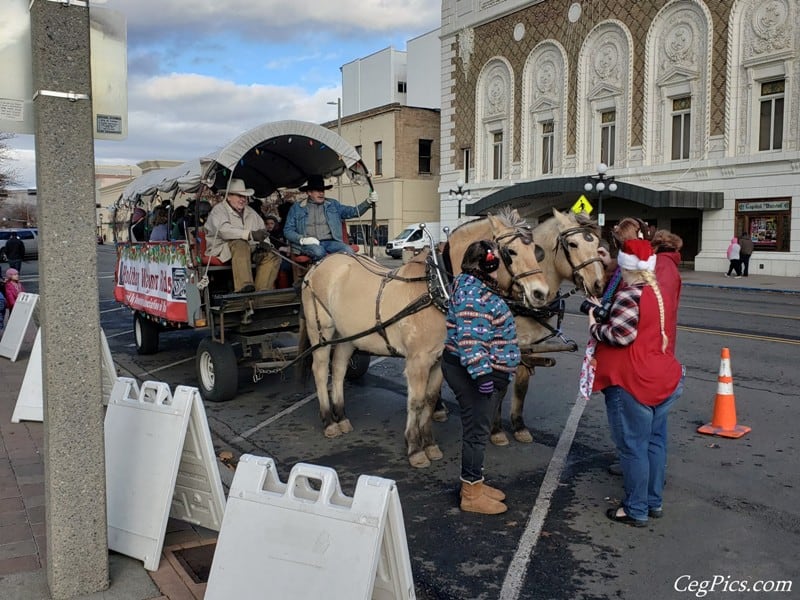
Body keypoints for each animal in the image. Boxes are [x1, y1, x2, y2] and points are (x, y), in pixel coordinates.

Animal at [300, 210, 552, 468]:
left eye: (535, 250)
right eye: (511, 252)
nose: (541, 293)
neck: (437, 288)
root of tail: (318, 265)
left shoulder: (439, 359)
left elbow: (430, 401)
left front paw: (429, 444)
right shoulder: (417, 361)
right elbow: (416, 401)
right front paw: (414, 448)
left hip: (347, 336)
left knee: (339, 369)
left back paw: (341, 416)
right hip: (321, 331)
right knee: (320, 370)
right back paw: (329, 421)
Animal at [440, 209, 604, 442]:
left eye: (597, 243)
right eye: (573, 244)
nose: (599, 284)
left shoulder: (528, 345)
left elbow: (521, 386)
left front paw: (519, 425)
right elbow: (500, 386)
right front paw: (496, 429)